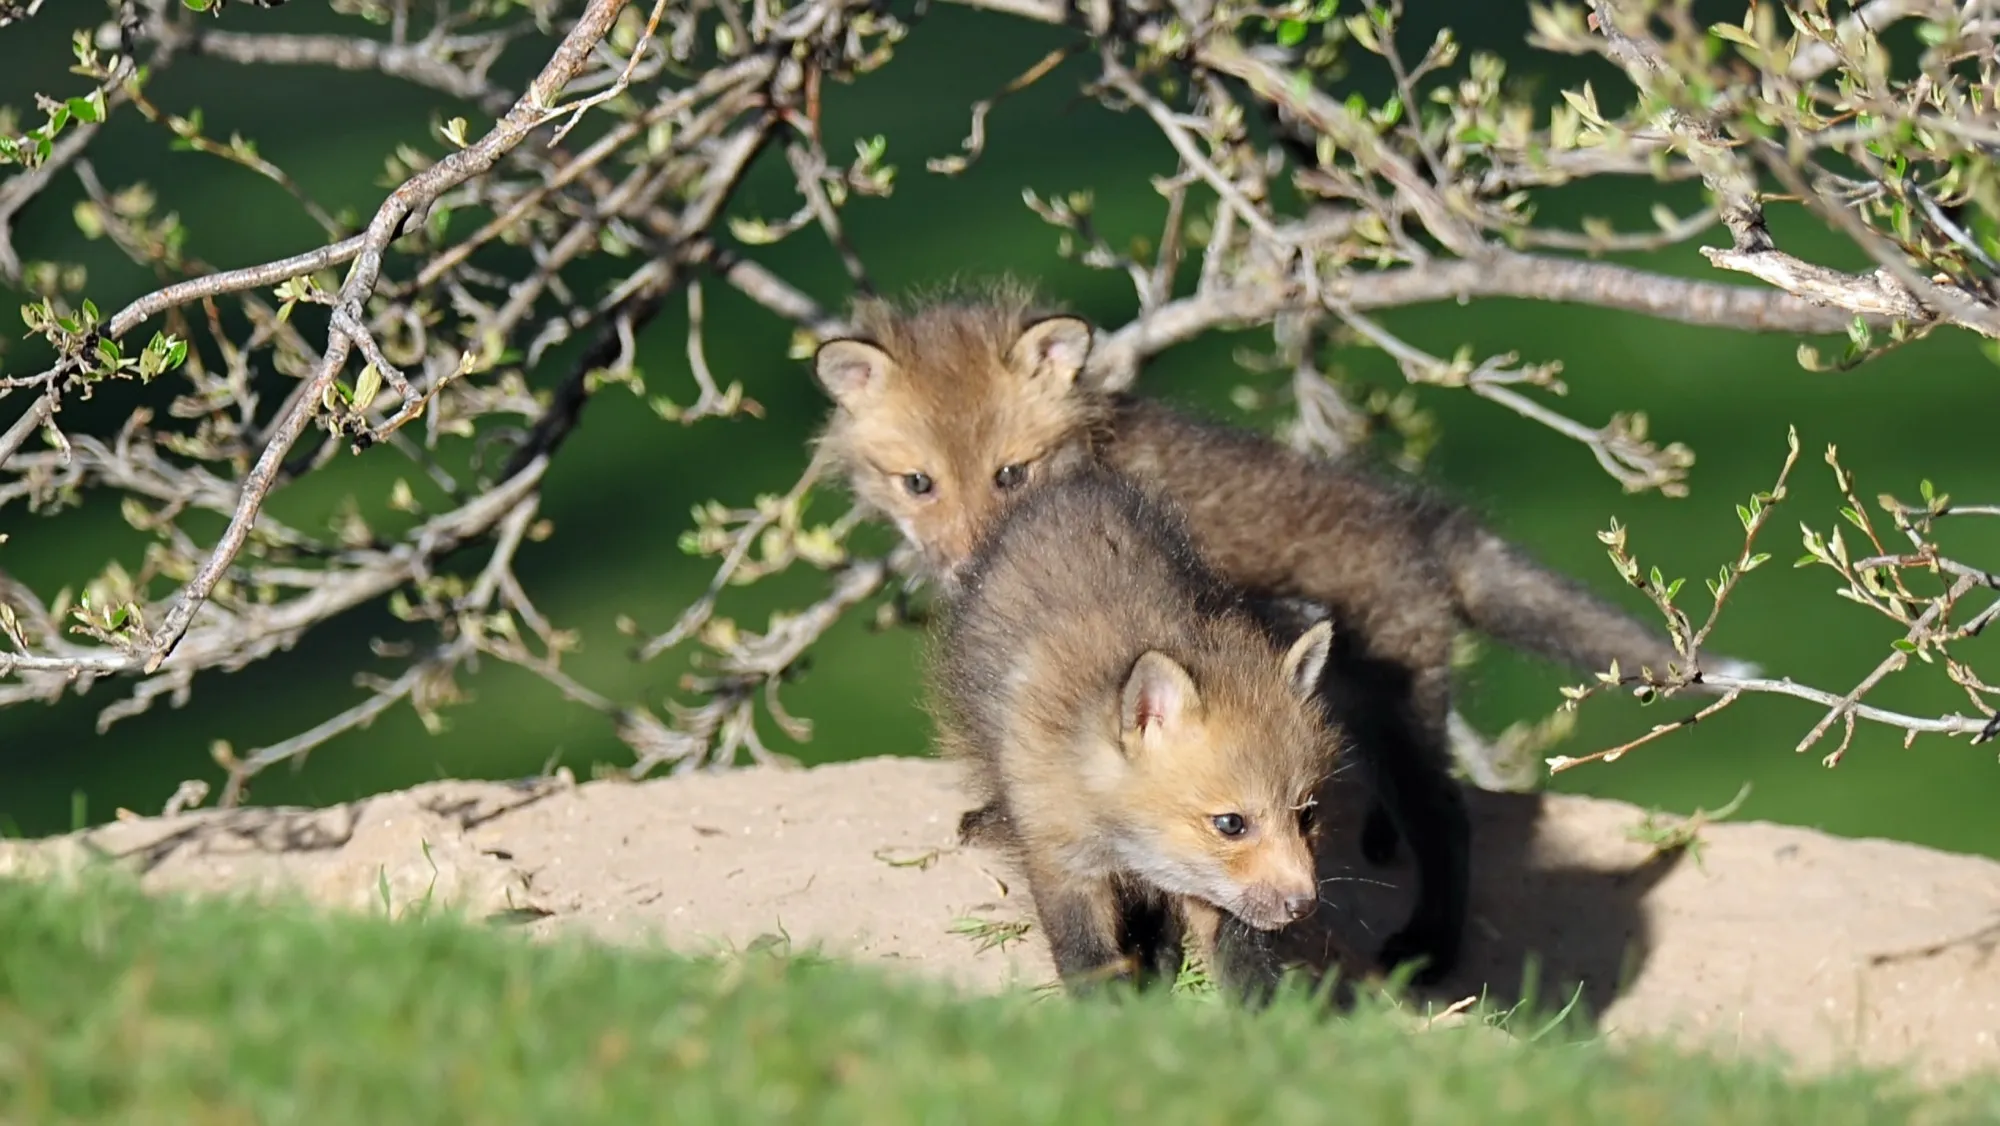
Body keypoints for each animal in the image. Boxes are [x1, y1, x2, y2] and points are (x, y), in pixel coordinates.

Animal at [928, 464, 1345, 993]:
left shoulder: (1204, 886)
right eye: (1231, 824)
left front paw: (1261, 1007)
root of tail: (1079, 484)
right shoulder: (1060, 855)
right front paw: (1110, 1007)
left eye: (1307, 814)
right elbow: (1085, 953)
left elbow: (1238, 950)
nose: (1303, 905)